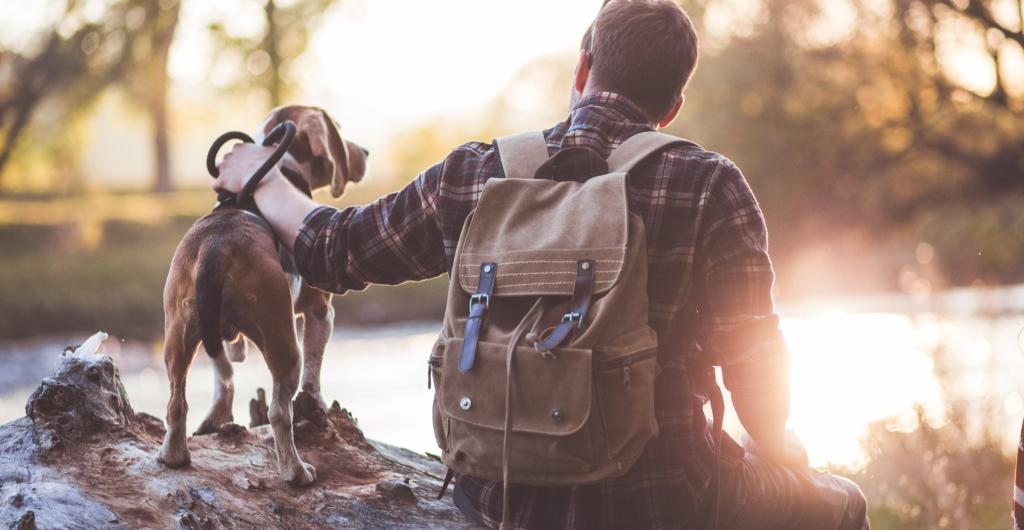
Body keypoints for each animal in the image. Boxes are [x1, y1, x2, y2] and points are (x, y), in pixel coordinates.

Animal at [155, 106, 368, 487]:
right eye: (340, 129)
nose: (366, 153)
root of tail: (215, 246)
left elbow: (223, 373)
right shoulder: (320, 312)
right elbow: (314, 374)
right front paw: (316, 403)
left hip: (178, 338)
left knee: (178, 402)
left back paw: (174, 454)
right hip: (284, 345)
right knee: (279, 412)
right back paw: (296, 472)